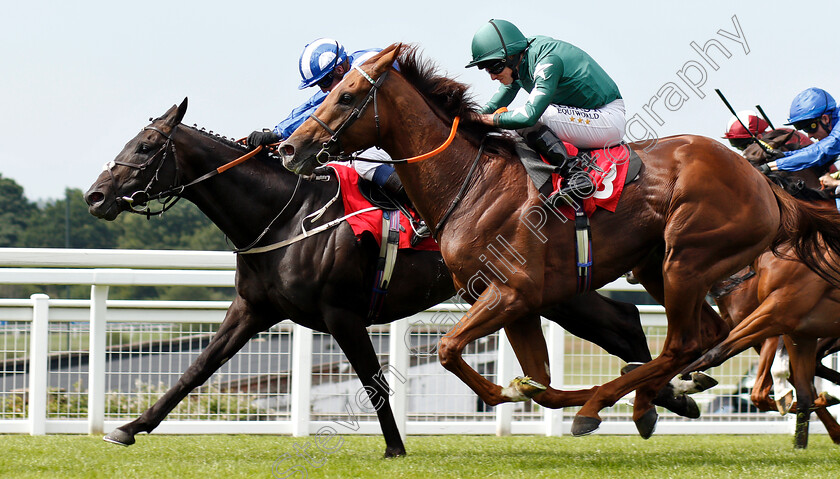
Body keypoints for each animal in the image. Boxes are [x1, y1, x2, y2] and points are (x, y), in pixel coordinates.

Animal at [83, 97, 696, 458]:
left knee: (624, 324)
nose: (94, 196)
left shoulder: (341, 314)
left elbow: (374, 381)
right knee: (624, 323)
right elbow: (196, 370)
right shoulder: (253, 310)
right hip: (548, 295)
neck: (287, 213)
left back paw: (662, 395)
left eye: (145, 146)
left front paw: (396, 448)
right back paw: (669, 396)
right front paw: (129, 427)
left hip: (546, 293)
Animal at [280, 44, 840, 438]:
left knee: (684, 343)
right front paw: (523, 390)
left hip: (687, 258)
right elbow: (539, 384)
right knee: (703, 339)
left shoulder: (512, 293)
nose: (290, 147)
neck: (472, 180)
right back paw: (647, 401)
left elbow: (447, 349)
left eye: (345, 96)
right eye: (329, 91)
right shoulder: (518, 305)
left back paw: (608, 404)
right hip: (660, 267)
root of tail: (763, 182)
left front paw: (543, 396)